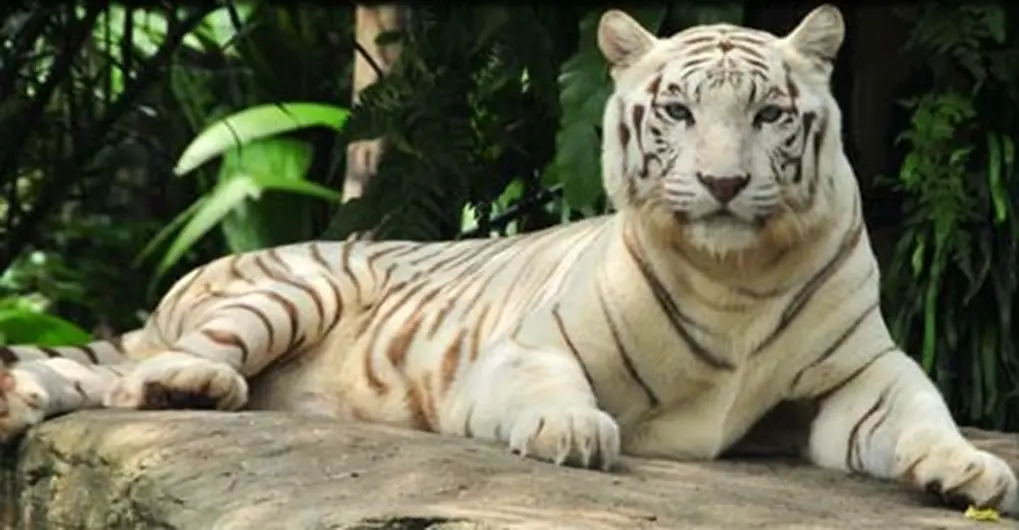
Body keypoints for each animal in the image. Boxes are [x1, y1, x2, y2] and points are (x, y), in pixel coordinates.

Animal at [1, 4, 1016, 516]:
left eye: (768, 114)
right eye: (678, 110)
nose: (725, 183)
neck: (738, 274)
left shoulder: (861, 369)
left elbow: (917, 413)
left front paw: (965, 469)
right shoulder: (521, 350)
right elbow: (549, 387)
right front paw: (572, 431)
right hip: (288, 289)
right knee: (132, 375)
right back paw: (181, 386)